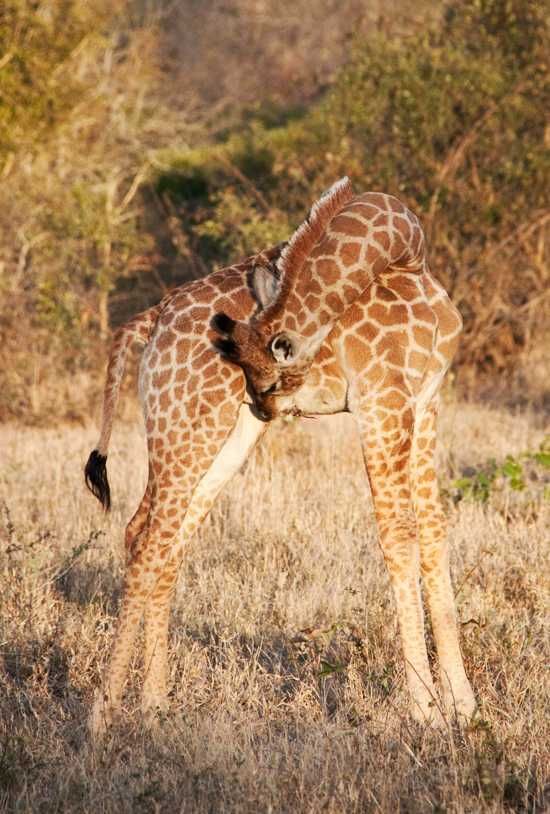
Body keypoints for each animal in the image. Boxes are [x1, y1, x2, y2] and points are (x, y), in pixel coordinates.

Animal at [85, 182, 475, 738]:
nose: (266, 403)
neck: (409, 262)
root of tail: (152, 320)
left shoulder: (426, 402)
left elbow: (435, 529)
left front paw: (463, 704)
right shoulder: (382, 401)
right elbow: (399, 531)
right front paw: (425, 712)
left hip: (226, 435)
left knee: (162, 536)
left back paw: (155, 705)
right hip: (184, 424)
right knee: (148, 537)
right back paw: (102, 714)